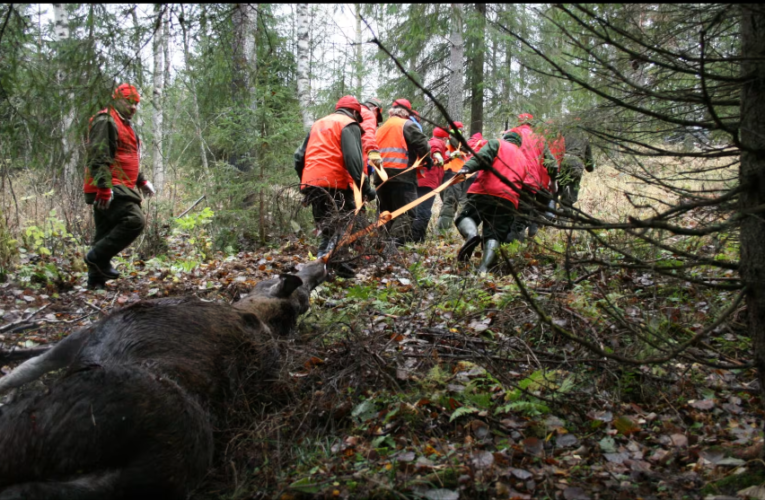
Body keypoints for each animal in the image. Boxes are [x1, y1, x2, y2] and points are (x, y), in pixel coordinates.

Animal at [0, 258, 326, 500]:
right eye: (304, 299)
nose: (321, 265)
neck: (261, 316)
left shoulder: (86, 332)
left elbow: (26, 366)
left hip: (34, 421)